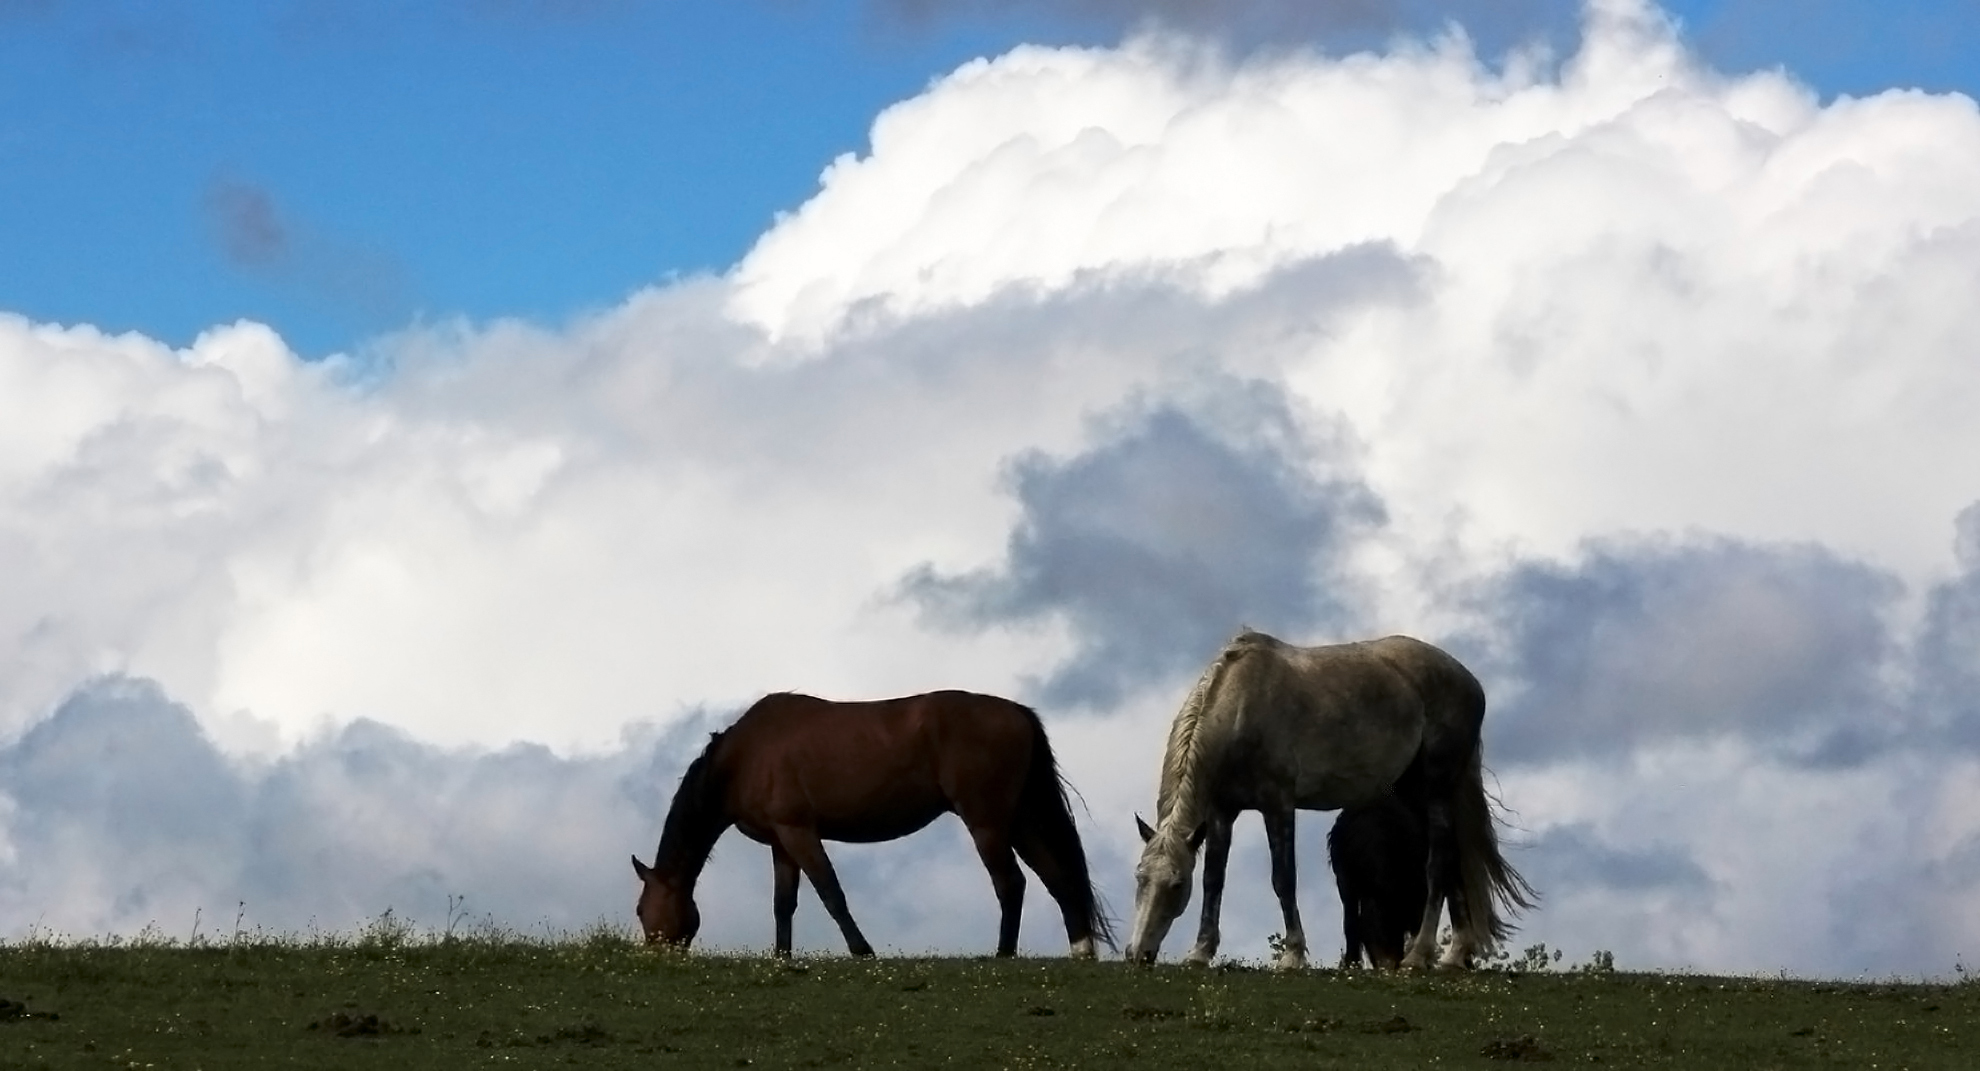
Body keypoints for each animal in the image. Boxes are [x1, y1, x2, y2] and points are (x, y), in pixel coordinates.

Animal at [629, 688, 1116, 958]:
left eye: (639, 909)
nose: (655, 954)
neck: (744, 758)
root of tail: (1020, 714)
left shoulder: (799, 832)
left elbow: (831, 894)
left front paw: (862, 951)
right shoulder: (782, 843)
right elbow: (783, 903)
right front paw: (782, 957)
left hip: (988, 823)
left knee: (1011, 884)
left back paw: (1002, 954)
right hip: (1020, 821)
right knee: (1057, 877)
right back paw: (1081, 951)